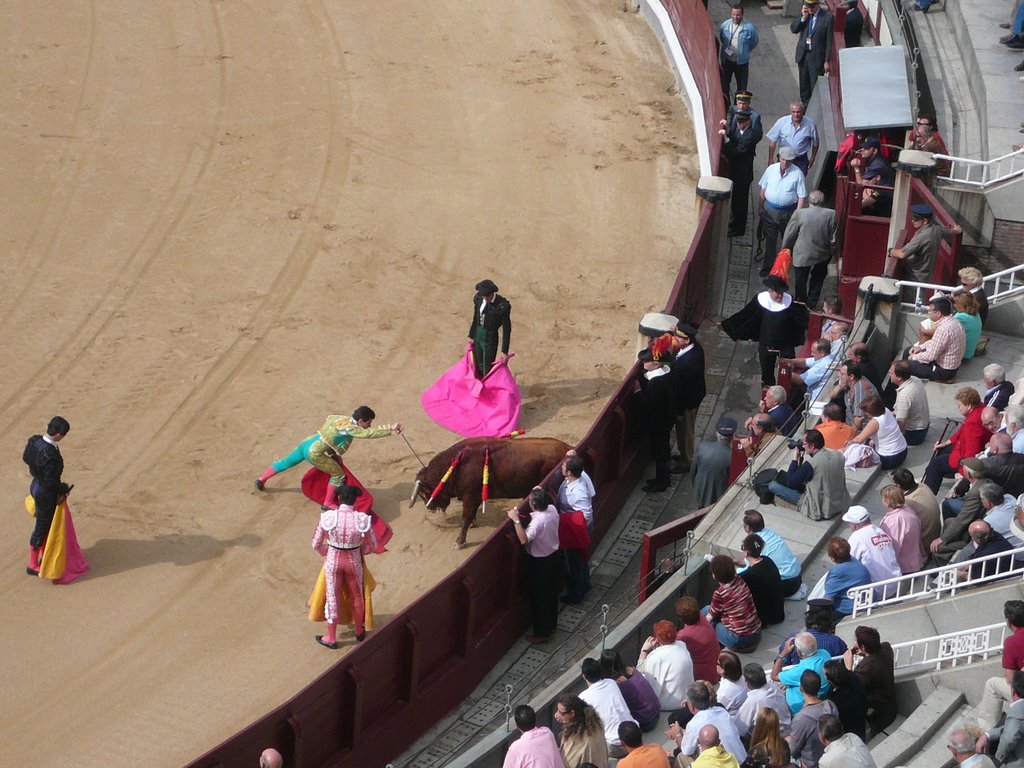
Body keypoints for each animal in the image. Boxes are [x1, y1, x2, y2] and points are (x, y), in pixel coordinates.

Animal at [409, 436, 573, 548]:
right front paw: (472, 524)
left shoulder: (470, 497)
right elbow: (469, 516)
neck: (455, 468)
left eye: (423, 493)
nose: (429, 508)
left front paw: (459, 542)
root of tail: (566, 447)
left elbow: (465, 518)